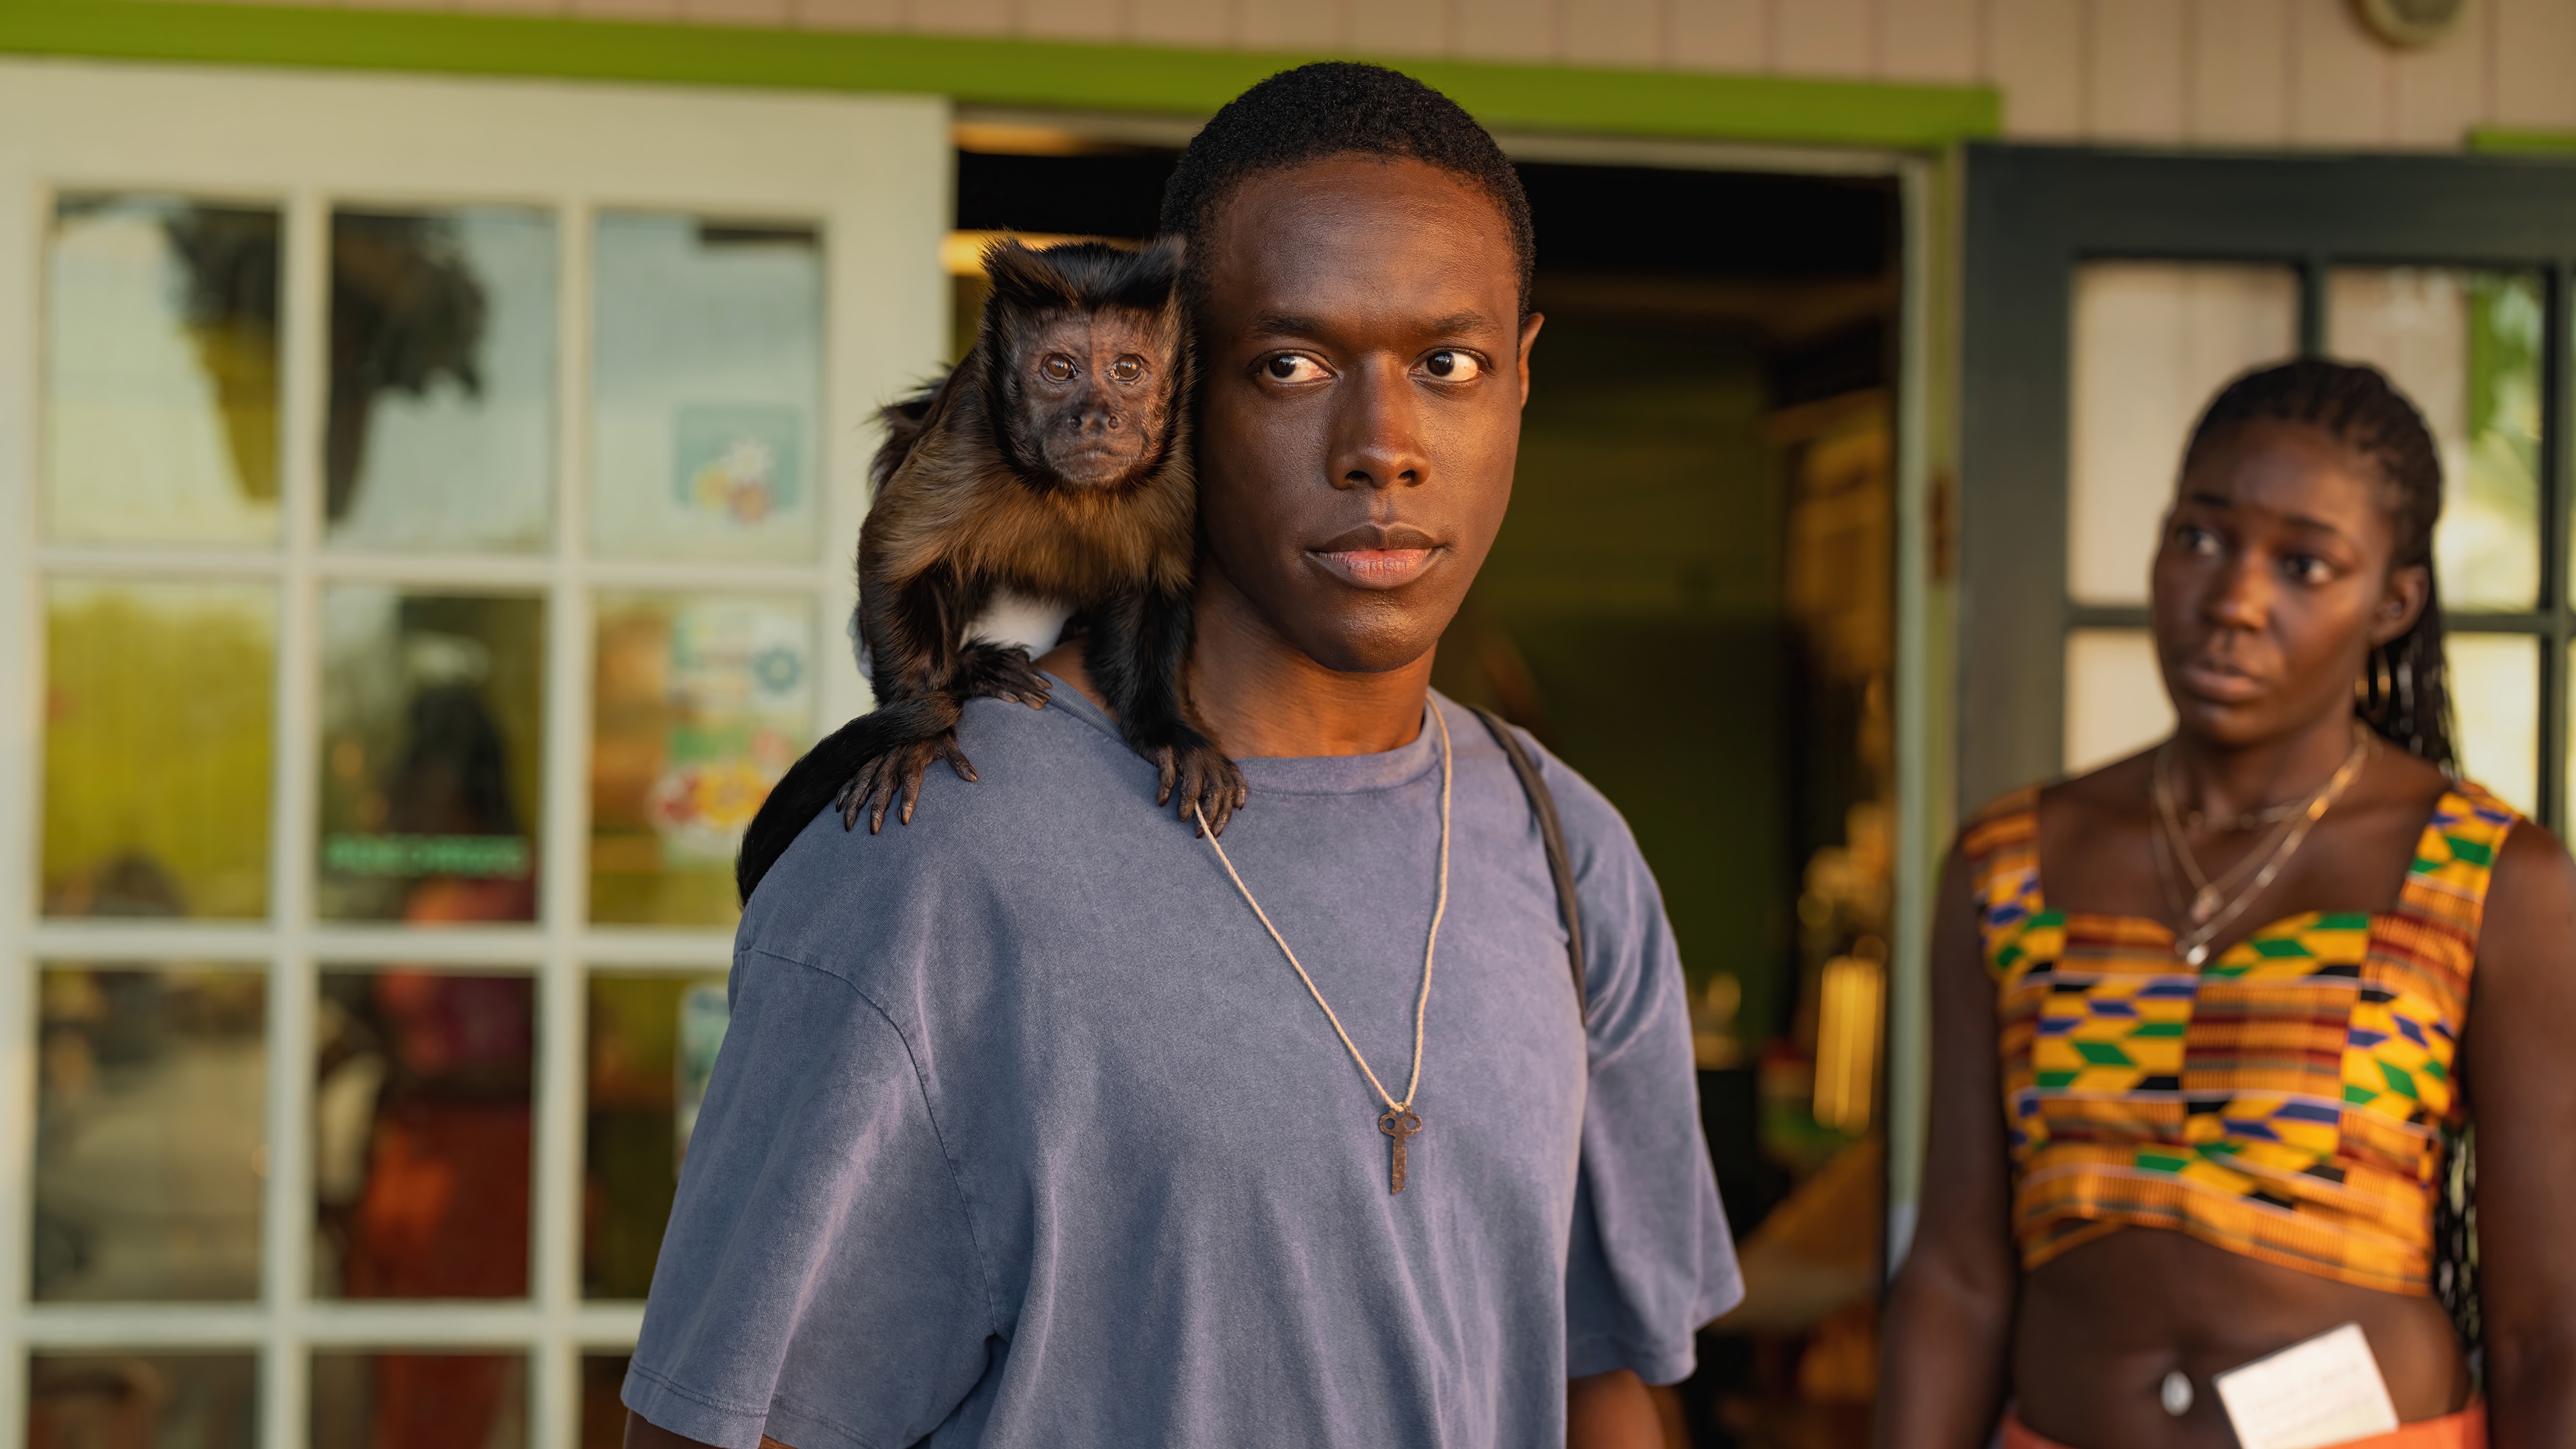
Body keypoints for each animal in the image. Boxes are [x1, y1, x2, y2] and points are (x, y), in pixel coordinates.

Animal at [733, 237, 1246, 904]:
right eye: (1060, 369)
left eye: (1128, 370)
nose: (1095, 415)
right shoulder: (970, 423)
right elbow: (892, 555)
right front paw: (920, 733)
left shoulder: (1180, 450)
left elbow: (1156, 584)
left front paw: (1167, 730)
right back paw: (975, 670)